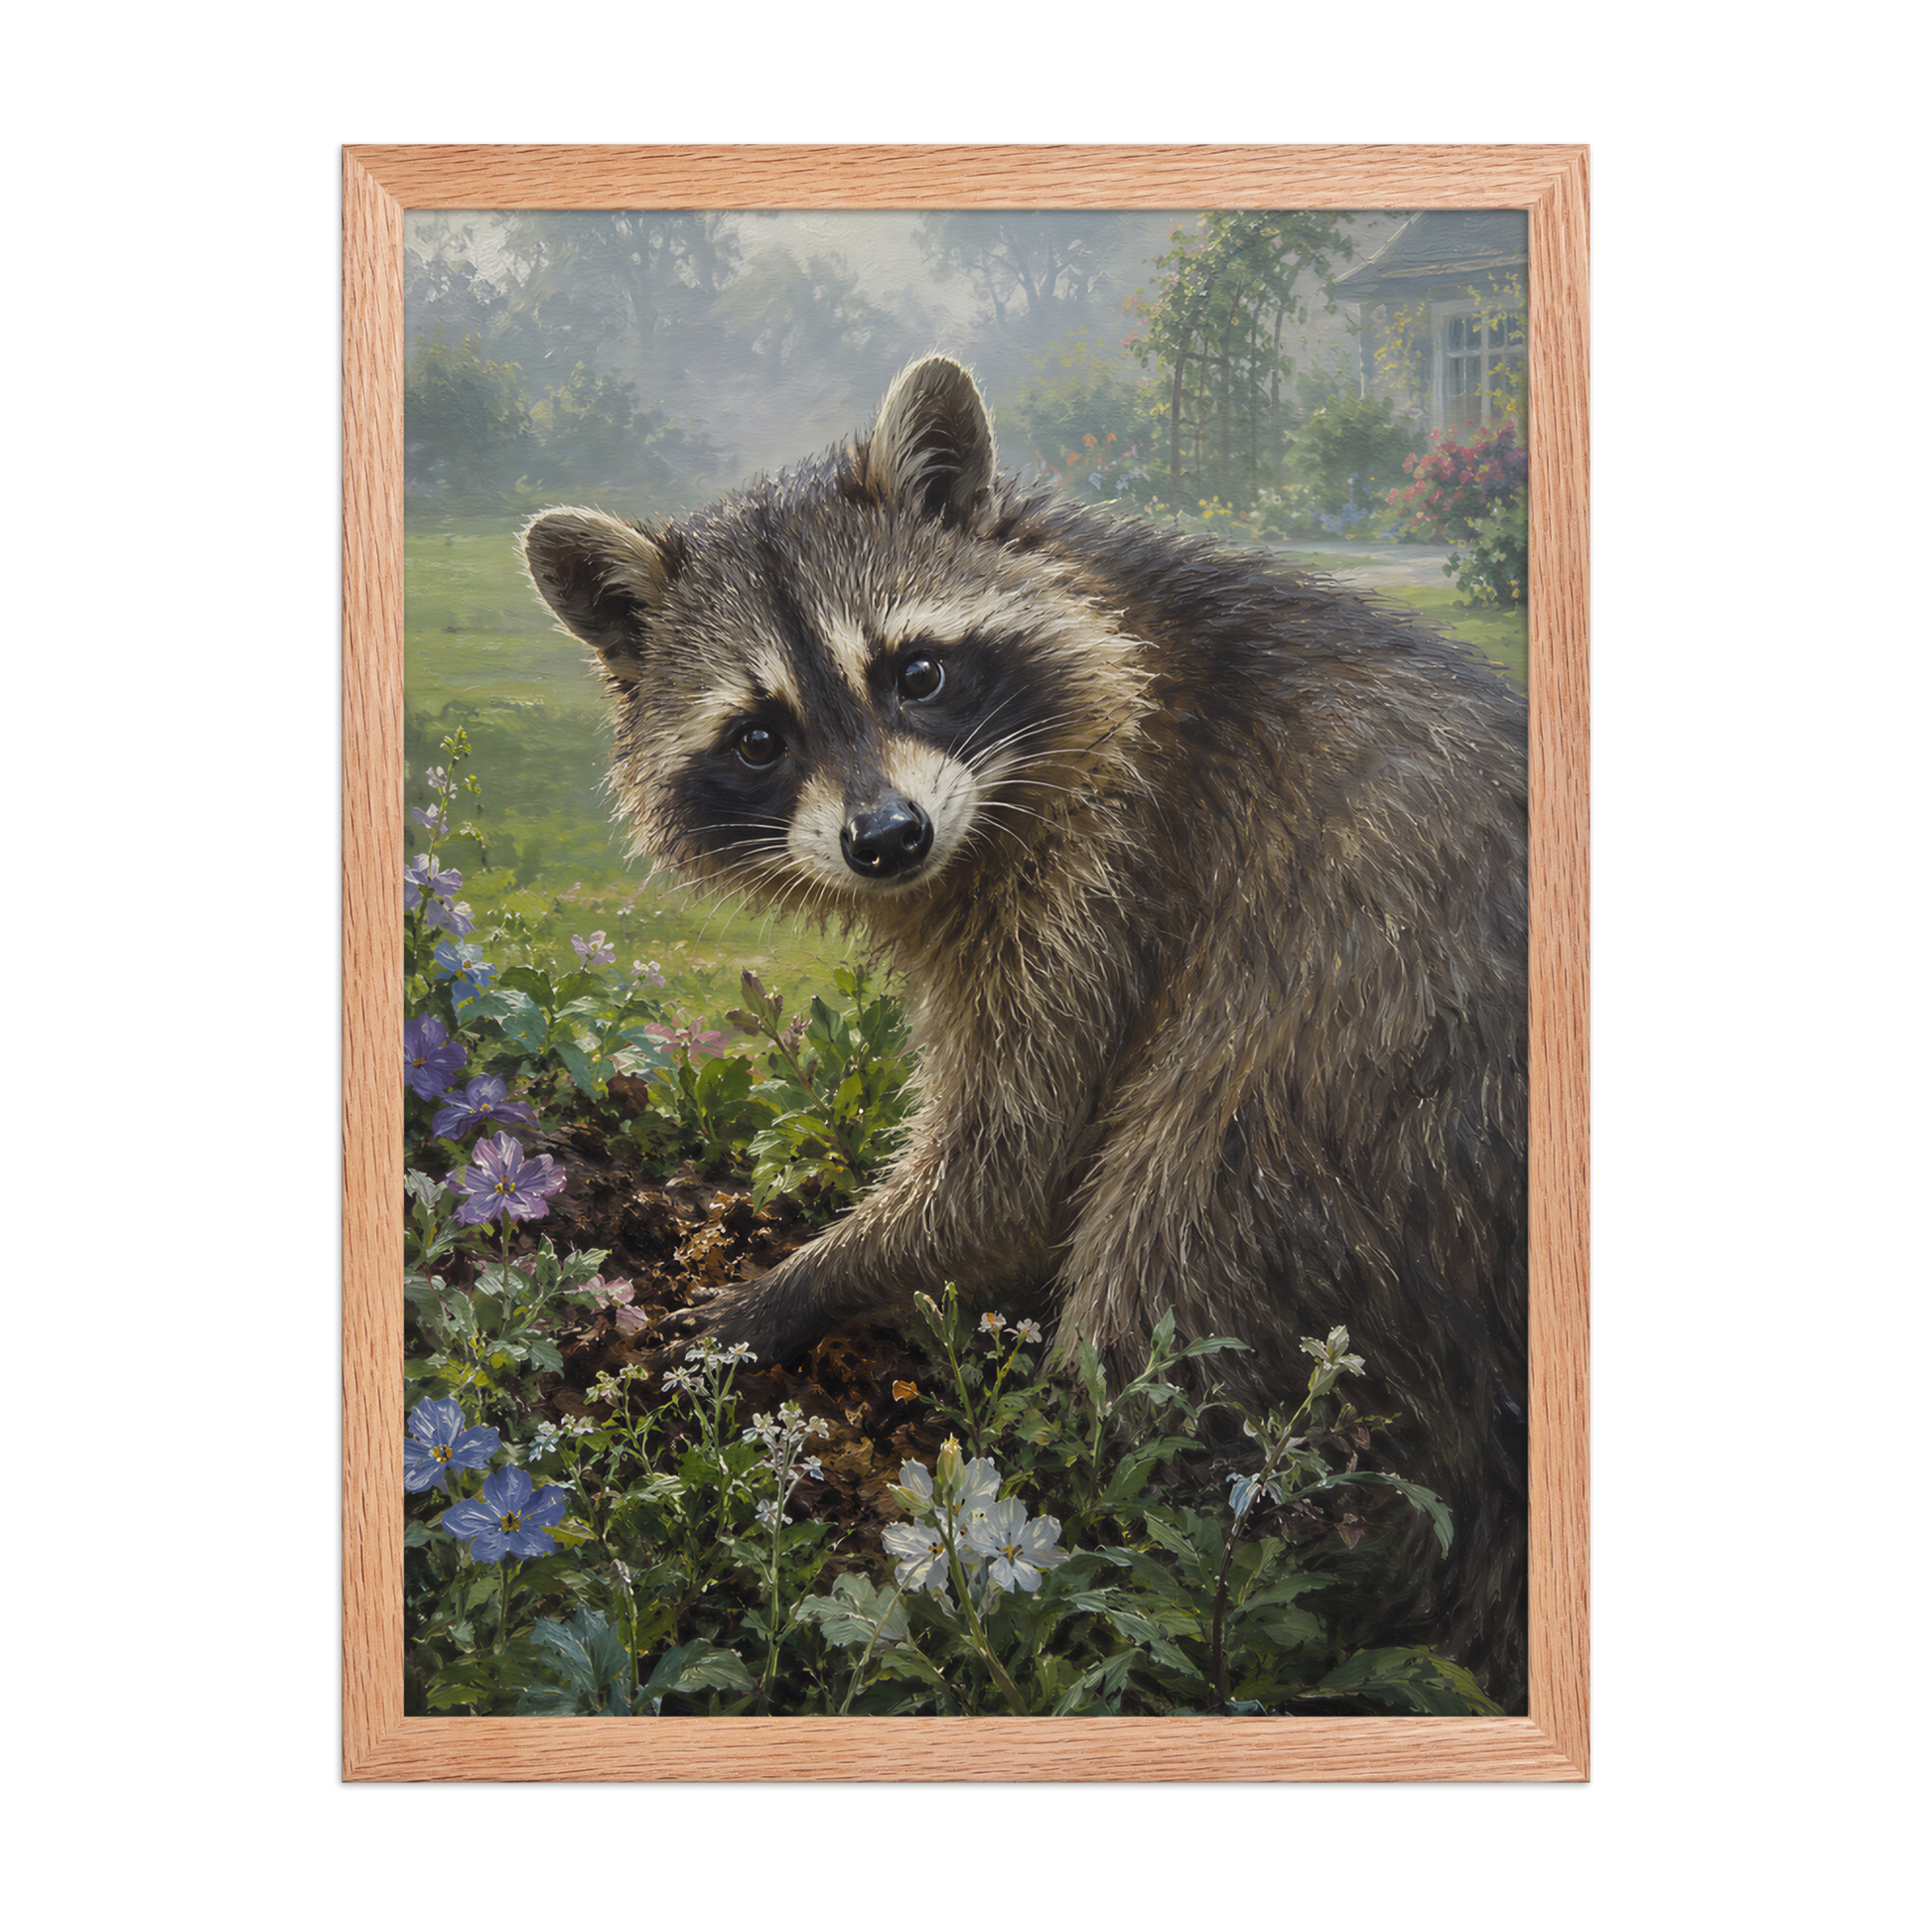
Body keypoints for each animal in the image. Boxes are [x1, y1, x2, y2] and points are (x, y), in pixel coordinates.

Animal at [520, 355, 1529, 1709]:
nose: (886, 838)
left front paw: (800, 1283)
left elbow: (1011, 1167)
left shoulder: (1112, 866)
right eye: (758, 736)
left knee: (1168, 1259)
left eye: (916, 672)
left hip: (1339, 1123)